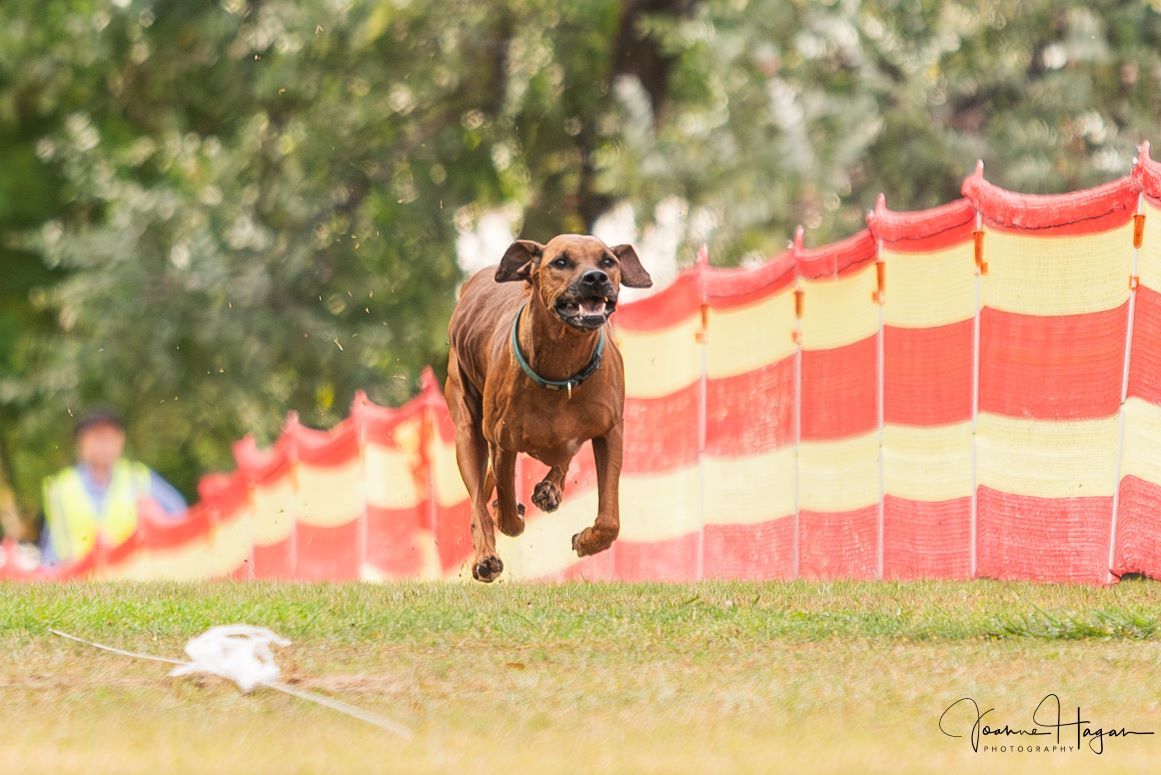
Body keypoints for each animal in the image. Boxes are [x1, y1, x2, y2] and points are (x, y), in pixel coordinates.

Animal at [444, 234, 652, 582]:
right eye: (560, 262)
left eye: (608, 261)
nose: (596, 278)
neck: (562, 366)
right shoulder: (502, 441)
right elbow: (506, 513)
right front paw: (505, 513)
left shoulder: (610, 431)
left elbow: (610, 520)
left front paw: (586, 540)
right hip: (467, 426)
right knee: (478, 499)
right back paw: (486, 553)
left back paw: (549, 489)